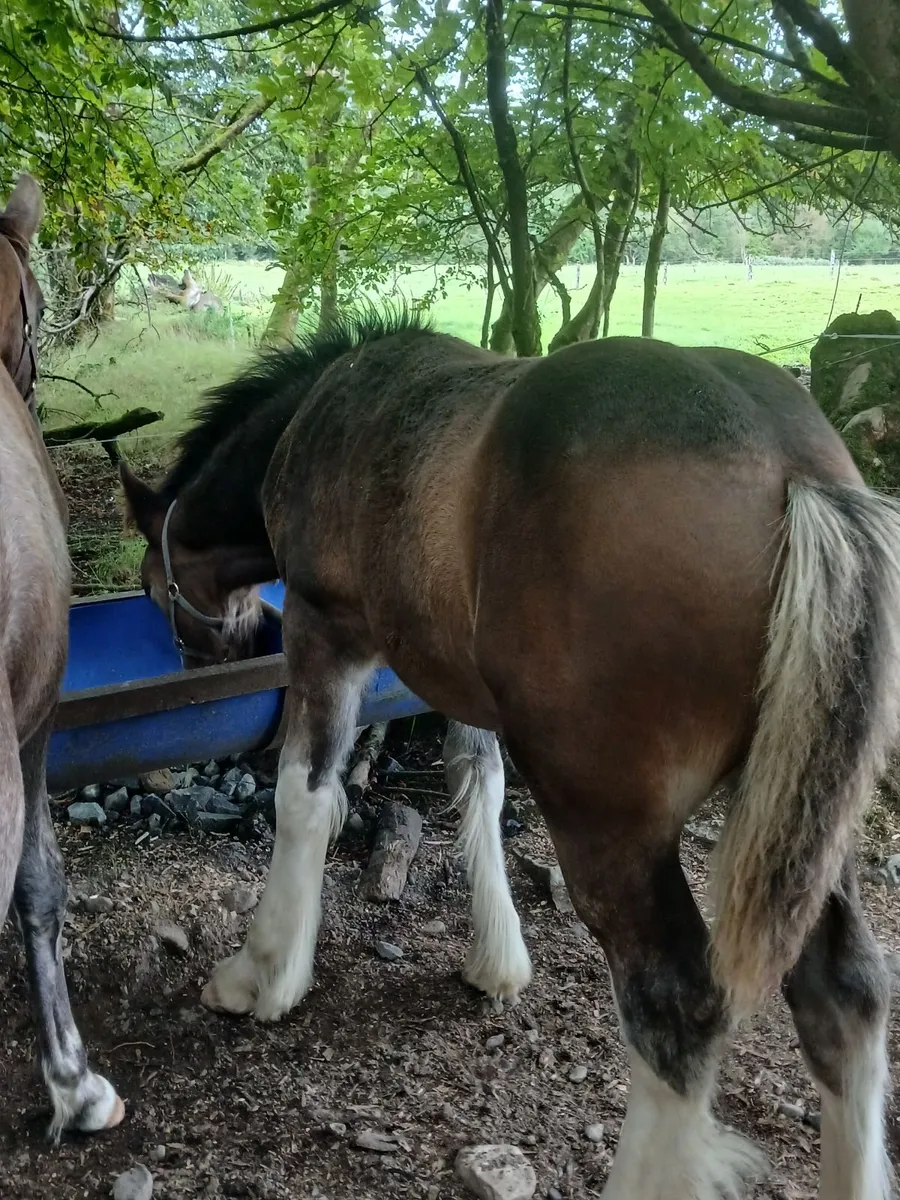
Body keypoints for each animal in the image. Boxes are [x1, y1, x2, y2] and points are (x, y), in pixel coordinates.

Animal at [121, 310, 900, 1200]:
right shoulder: (461, 683)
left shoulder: (327, 631)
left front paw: (264, 971)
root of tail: (795, 472)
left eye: (154, 587)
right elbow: (481, 784)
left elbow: (306, 797)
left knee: (675, 1006)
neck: (321, 411)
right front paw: (497, 958)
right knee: (846, 994)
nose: (203, 659)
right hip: (801, 818)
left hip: (608, 821)